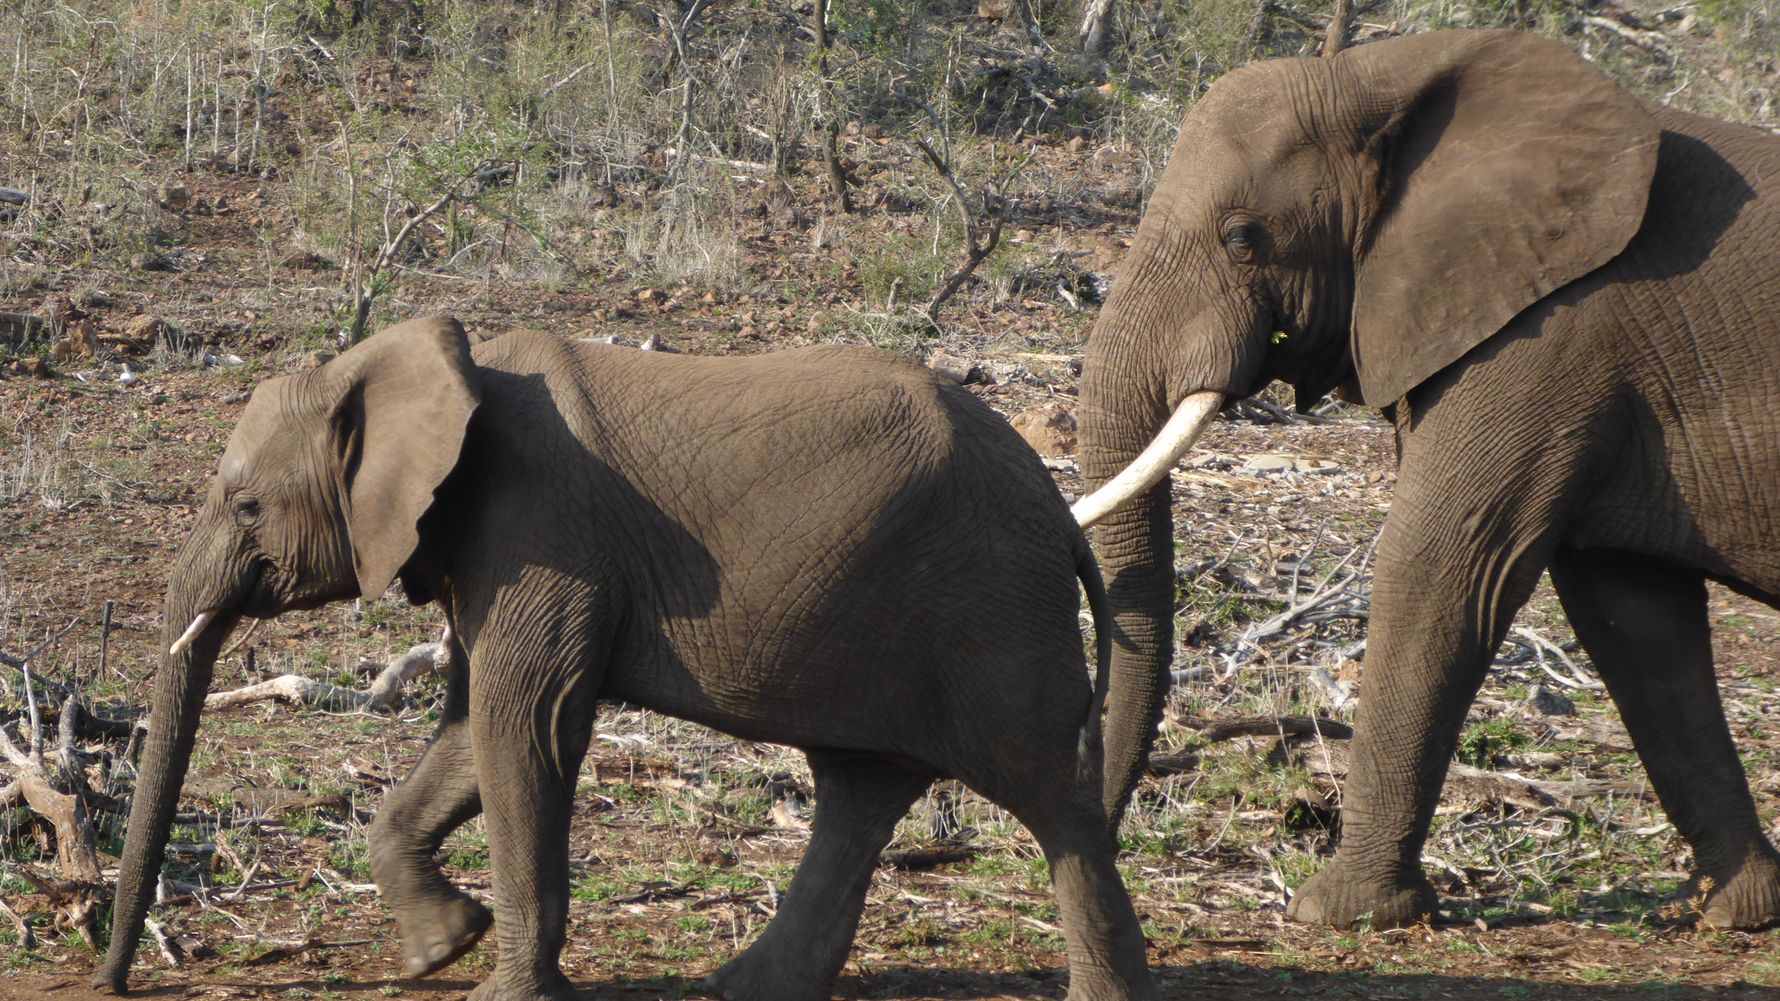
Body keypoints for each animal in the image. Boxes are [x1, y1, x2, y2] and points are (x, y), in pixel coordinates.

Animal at [93, 317, 1155, 1001]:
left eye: (245, 508)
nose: (118, 981)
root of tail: (1058, 505)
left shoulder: (542, 531)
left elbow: (522, 725)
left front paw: (499, 988)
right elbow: (471, 731)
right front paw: (438, 949)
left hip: (994, 603)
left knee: (1050, 797)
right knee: (862, 786)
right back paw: (738, 989)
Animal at [1070, 28, 1780, 931]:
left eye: (1243, 238)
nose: (1108, 841)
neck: (1380, 74)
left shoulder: (1550, 335)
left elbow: (1441, 566)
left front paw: (1340, 912)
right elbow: (1636, 619)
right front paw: (1733, 909)